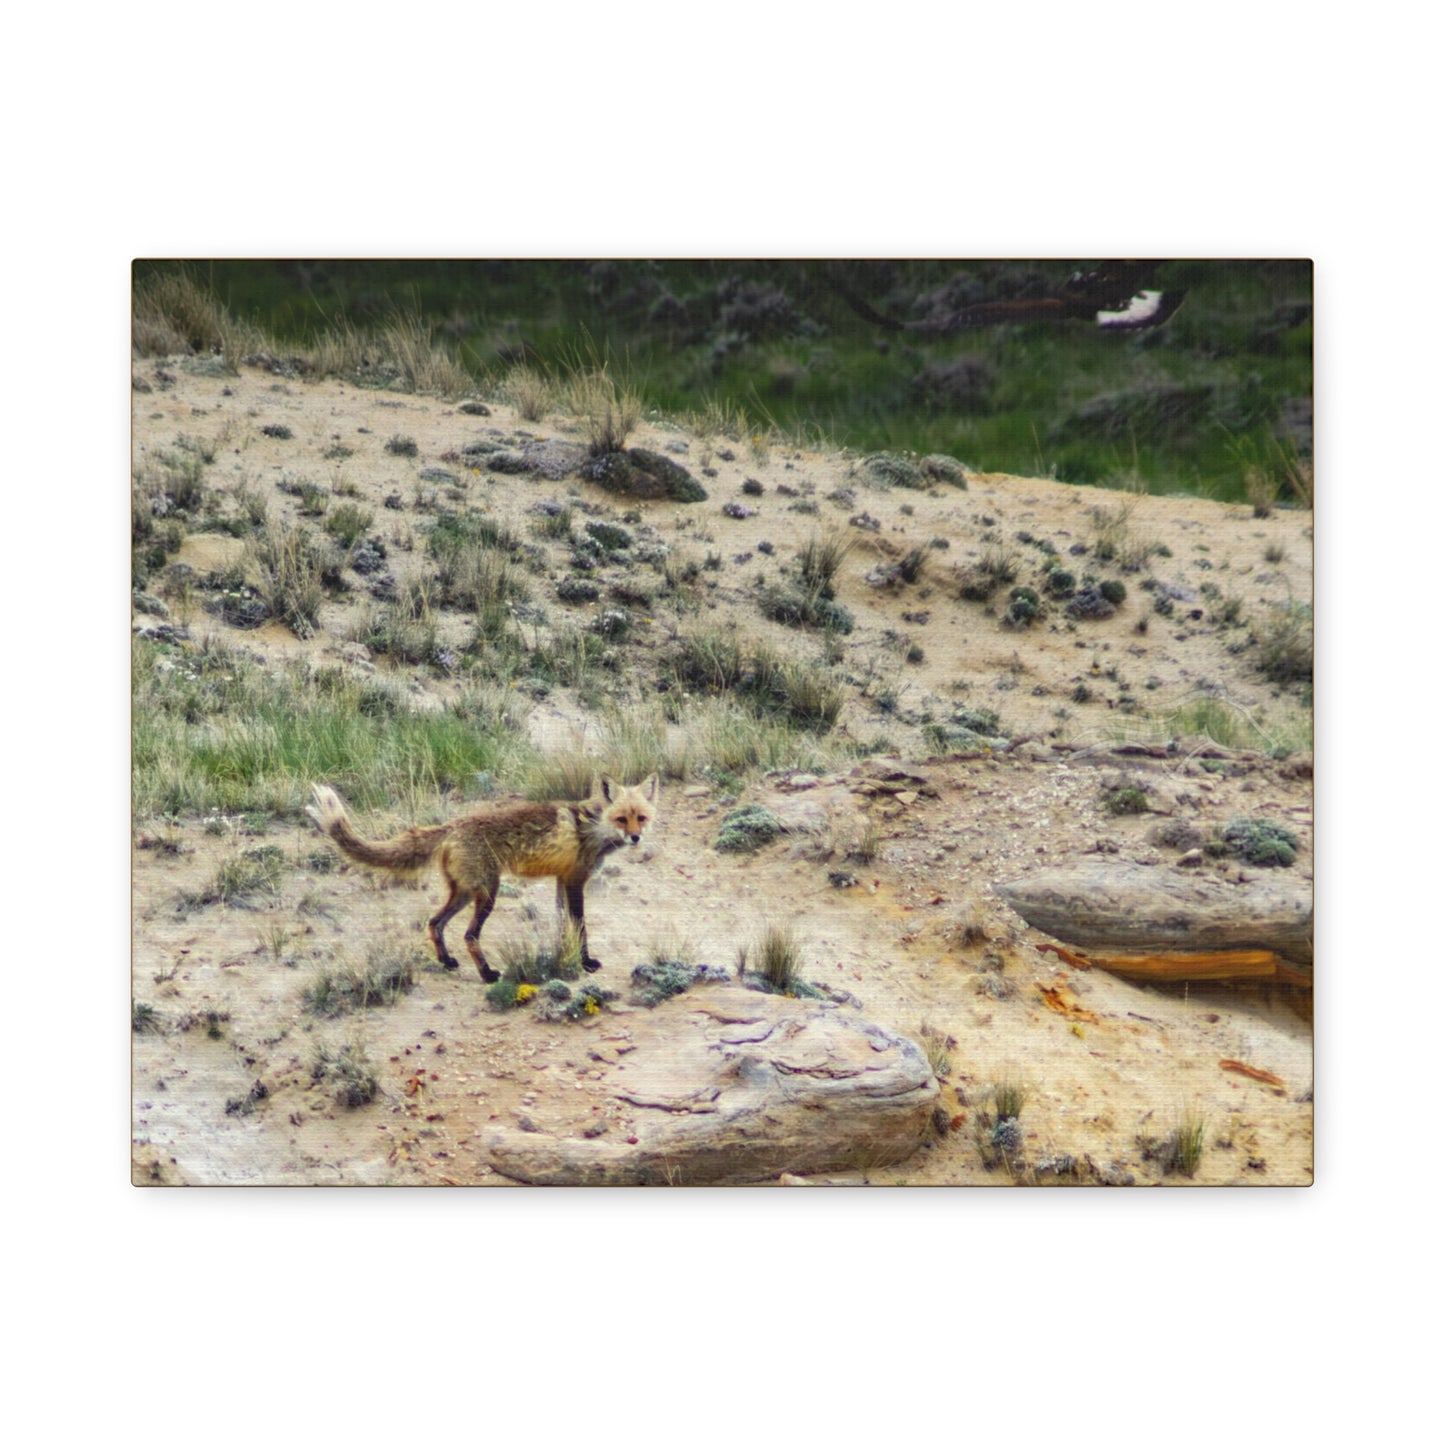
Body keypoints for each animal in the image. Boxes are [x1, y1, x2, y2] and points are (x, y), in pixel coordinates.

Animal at [305, 775, 658, 982]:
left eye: (641, 817)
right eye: (622, 818)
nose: (636, 838)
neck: (593, 827)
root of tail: (451, 825)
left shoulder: (562, 880)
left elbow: (563, 926)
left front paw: (564, 957)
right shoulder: (574, 881)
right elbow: (580, 926)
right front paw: (585, 963)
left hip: (463, 893)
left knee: (435, 923)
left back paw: (447, 962)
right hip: (489, 893)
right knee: (469, 935)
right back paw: (487, 974)